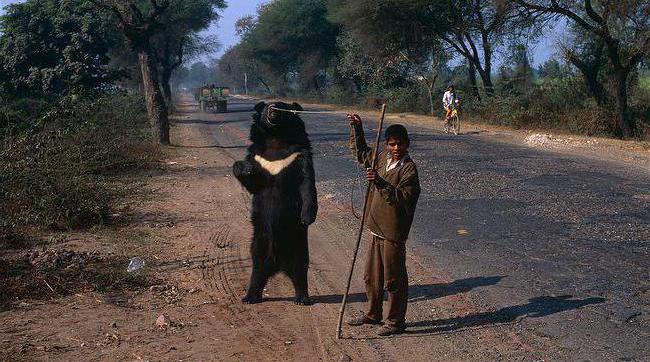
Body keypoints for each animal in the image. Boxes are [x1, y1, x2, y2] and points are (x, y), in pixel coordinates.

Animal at [232, 101, 318, 306]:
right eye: (266, 108)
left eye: (282, 106)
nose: (272, 108)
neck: (276, 137)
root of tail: (278, 264)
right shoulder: (257, 156)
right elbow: (253, 182)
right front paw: (243, 167)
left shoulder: (298, 155)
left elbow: (306, 183)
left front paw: (307, 217)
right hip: (260, 239)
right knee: (257, 266)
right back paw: (250, 296)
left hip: (297, 241)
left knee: (300, 267)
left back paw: (302, 298)